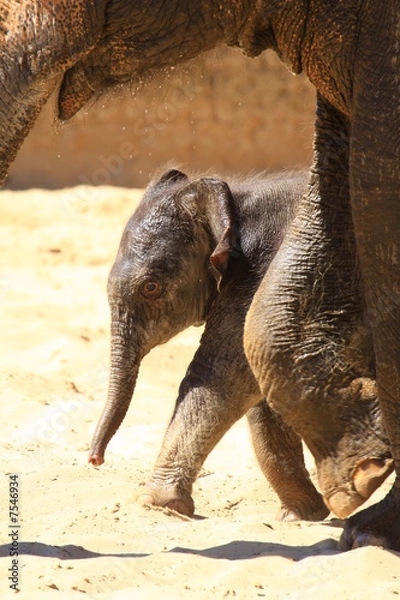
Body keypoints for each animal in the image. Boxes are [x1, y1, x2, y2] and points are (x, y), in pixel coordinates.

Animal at [89, 169, 392, 520]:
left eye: (150, 287)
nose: (95, 460)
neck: (235, 203)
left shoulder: (261, 277)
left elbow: (222, 373)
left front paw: (158, 505)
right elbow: (262, 389)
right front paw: (302, 517)